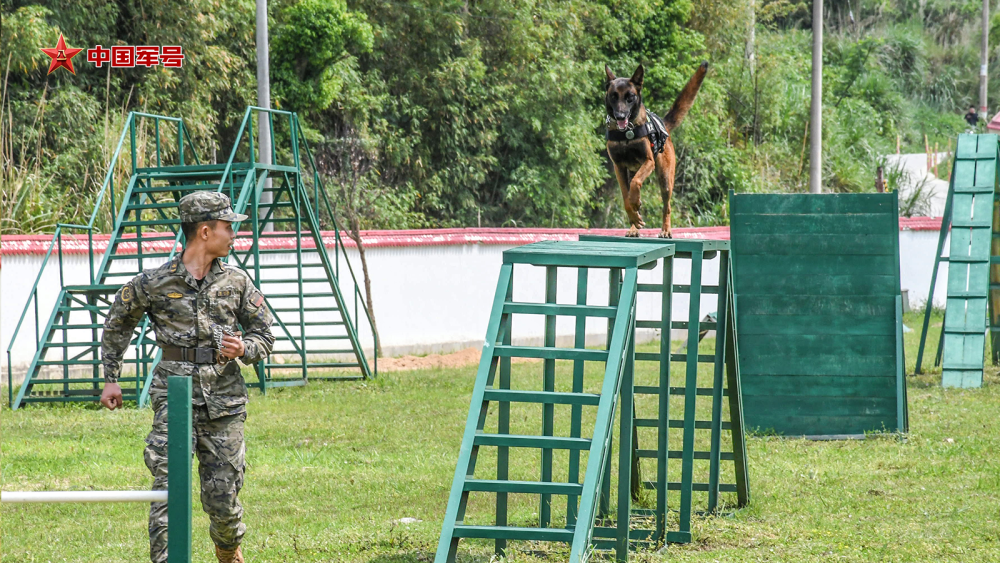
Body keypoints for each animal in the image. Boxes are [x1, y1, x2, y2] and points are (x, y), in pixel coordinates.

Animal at [604, 62, 708, 238]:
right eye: (613, 96)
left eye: (630, 97)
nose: (620, 116)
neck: (626, 133)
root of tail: (664, 125)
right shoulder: (619, 168)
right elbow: (626, 196)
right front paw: (634, 215)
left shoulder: (649, 162)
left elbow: (635, 184)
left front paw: (636, 205)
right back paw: (634, 226)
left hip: (665, 179)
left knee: (667, 207)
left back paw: (665, 230)